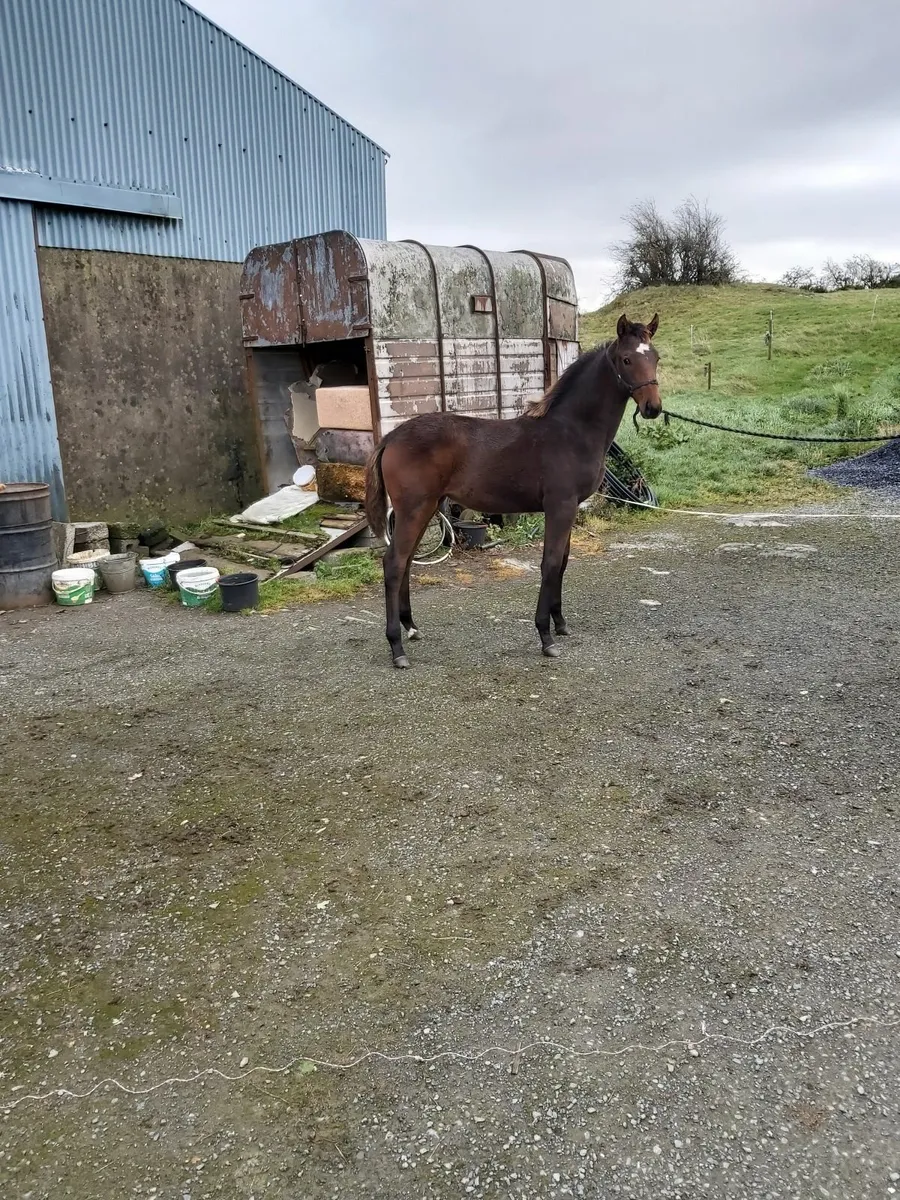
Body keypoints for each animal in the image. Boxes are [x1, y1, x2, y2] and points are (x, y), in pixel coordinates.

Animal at [364, 313, 663, 668]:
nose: (653, 407)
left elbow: (562, 562)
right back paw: (397, 647)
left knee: (407, 561)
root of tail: (390, 437)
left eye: (656, 357)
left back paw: (411, 627)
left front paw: (560, 623)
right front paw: (546, 636)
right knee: (394, 564)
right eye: (627, 359)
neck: (571, 430)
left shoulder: (570, 508)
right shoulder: (560, 506)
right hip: (414, 508)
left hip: (426, 508)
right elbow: (550, 563)